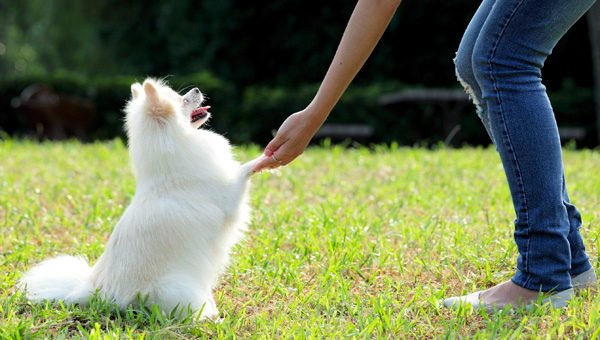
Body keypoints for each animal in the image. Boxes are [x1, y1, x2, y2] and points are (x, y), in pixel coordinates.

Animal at [19, 77, 258, 318]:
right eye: (182, 100)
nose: (197, 89)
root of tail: (96, 292)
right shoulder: (230, 201)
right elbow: (245, 170)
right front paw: (263, 159)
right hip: (179, 288)